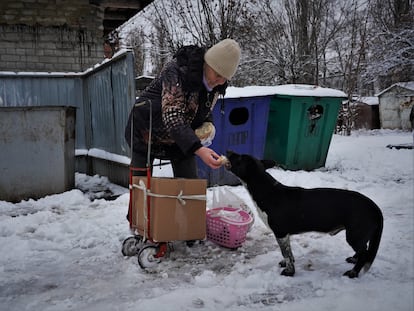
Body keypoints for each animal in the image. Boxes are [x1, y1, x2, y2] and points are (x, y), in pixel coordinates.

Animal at [225, 150, 384, 280]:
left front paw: (289, 272)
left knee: (364, 253)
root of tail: (375, 208)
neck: (268, 191)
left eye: (239, 158)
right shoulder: (285, 235)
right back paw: (354, 260)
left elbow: (286, 253)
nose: (228, 150)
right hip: (359, 235)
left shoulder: (280, 233)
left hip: (354, 234)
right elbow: (288, 254)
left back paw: (353, 273)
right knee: (364, 249)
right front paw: (287, 264)